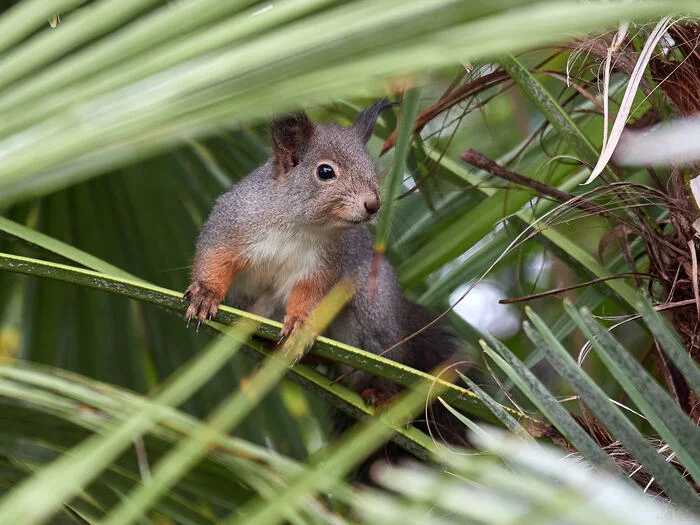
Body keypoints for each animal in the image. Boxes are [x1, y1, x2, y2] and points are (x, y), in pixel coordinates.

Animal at [186, 100, 468, 436]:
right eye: (325, 172)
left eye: (372, 167)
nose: (373, 205)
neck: (298, 225)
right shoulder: (232, 222)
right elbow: (214, 257)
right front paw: (206, 294)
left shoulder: (322, 265)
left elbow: (310, 294)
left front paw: (299, 325)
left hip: (374, 312)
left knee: (381, 361)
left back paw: (382, 394)